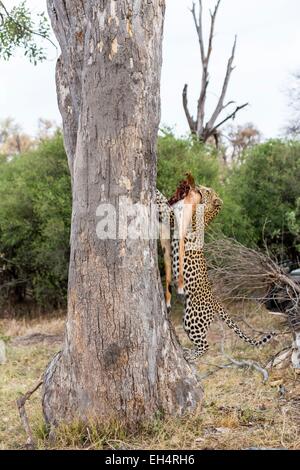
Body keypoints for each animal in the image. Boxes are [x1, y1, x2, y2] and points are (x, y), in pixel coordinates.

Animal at [157, 178, 276, 362]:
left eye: (207, 191)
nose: (198, 185)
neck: (206, 213)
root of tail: (215, 301)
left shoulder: (175, 218)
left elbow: (165, 207)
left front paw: (155, 192)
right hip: (188, 316)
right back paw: (189, 352)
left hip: (193, 318)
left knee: (206, 345)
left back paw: (191, 356)